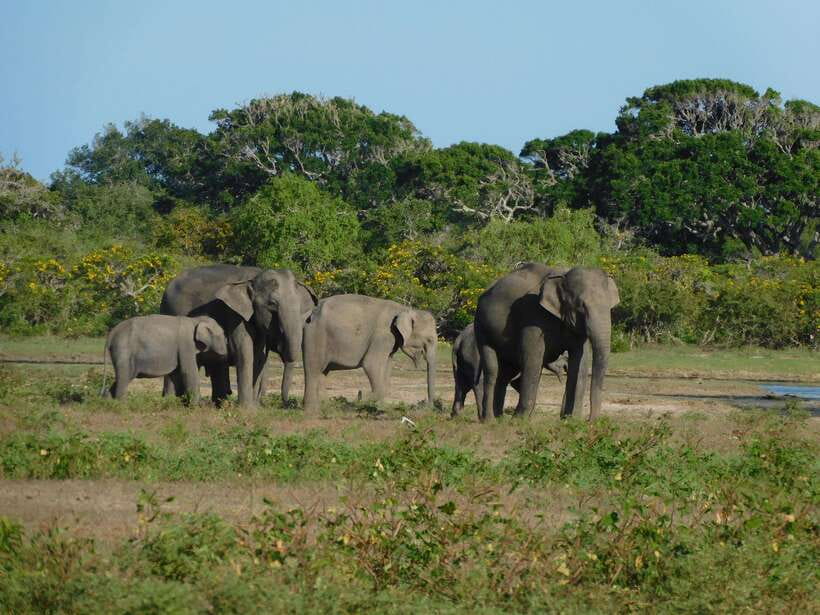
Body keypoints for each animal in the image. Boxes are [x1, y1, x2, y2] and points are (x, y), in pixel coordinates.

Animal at [160, 265, 316, 407]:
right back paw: (171, 401)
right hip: (170, 312)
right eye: (272, 304)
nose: (288, 403)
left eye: (300, 306)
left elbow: (258, 356)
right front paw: (245, 408)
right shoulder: (234, 314)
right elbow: (244, 351)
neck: (253, 278)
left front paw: (254, 407)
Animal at [302, 294, 437, 413]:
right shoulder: (383, 336)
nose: (426, 407)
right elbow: (371, 364)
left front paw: (380, 407)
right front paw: (362, 400)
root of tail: (311, 312)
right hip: (315, 335)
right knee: (313, 369)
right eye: (429, 340)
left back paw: (326, 407)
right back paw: (311, 412)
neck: (405, 309)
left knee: (322, 372)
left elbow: (386, 366)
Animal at [474, 262, 619, 421]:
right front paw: (518, 420)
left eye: (610, 307)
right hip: (481, 328)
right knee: (492, 370)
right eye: (581, 306)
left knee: (505, 374)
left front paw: (571, 419)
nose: (589, 420)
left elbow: (580, 362)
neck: (563, 275)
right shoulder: (532, 315)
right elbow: (533, 358)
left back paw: (499, 418)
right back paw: (490, 421)